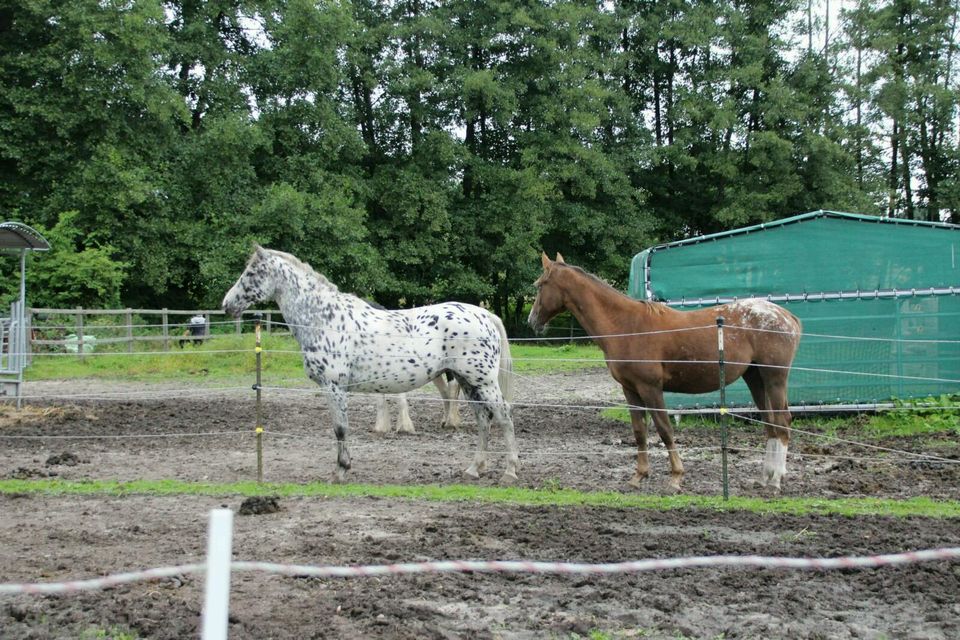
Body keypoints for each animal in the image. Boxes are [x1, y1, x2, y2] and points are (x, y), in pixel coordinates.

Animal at [223, 248, 516, 482]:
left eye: (251, 273)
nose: (227, 304)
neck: (326, 319)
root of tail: (485, 314)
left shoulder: (334, 387)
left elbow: (340, 429)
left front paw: (341, 471)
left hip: (482, 382)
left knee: (503, 416)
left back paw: (510, 472)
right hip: (467, 381)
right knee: (483, 419)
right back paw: (474, 468)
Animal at [524, 252, 804, 492]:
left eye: (539, 285)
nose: (531, 321)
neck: (626, 325)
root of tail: (786, 316)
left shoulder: (651, 388)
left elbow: (664, 429)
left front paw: (676, 478)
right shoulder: (630, 390)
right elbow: (640, 432)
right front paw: (638, 476)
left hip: (774, 378)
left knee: (782, 422)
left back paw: (776, 480)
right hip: (755, 378)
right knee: (770, 424)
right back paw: (765, 478)